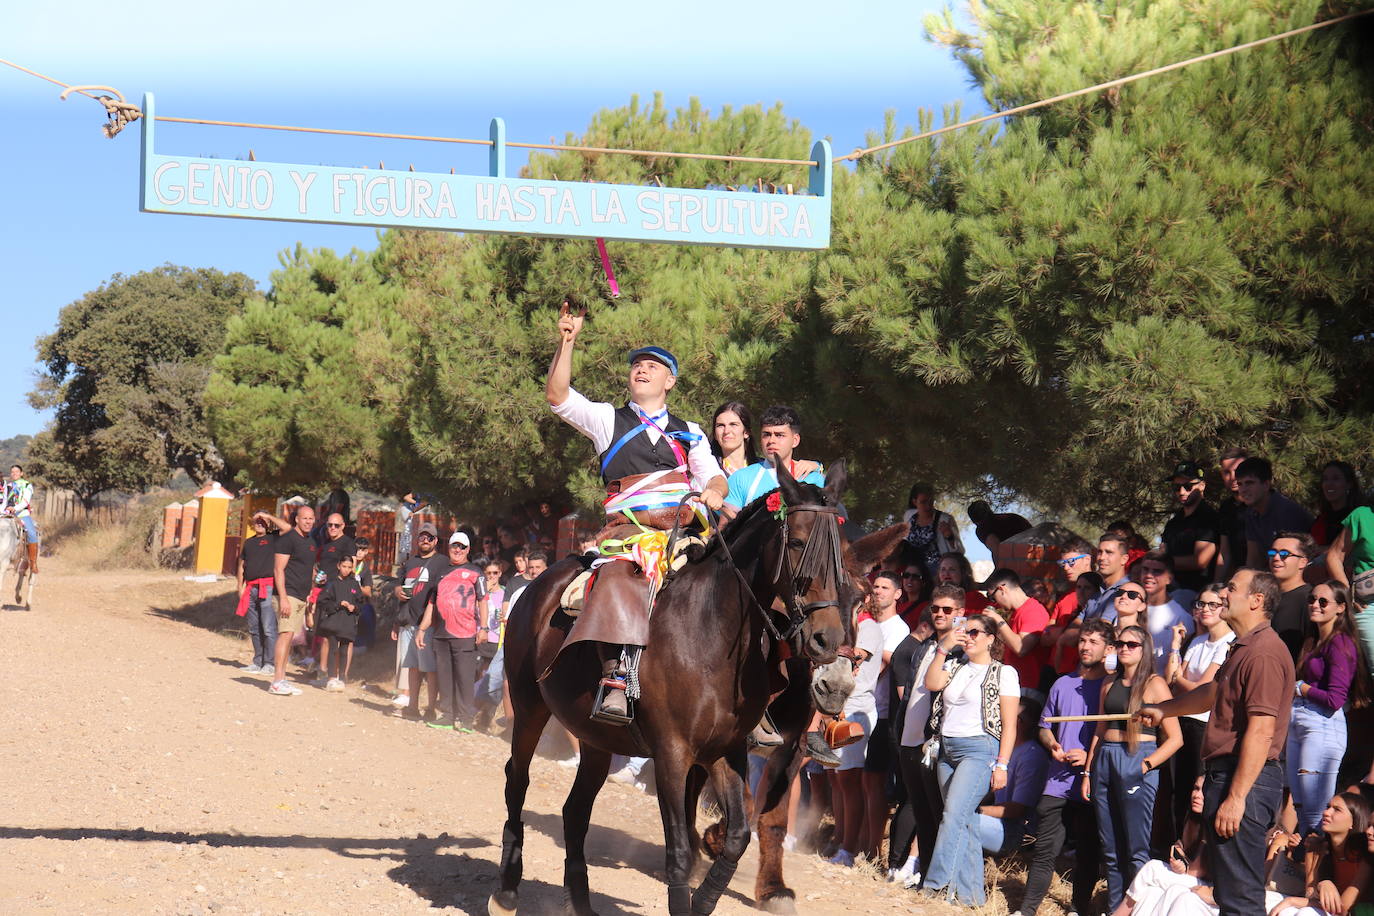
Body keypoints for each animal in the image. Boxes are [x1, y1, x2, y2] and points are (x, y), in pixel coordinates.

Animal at [489, 461, 851, 916]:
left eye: (840, 556)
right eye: (799, 542)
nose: (827, 640)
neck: (708, 633)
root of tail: (540, 582)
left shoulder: (724, 752)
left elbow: (737, 838)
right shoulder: (673, 755)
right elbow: (678, 852)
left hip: (596, 739)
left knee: (575, 811)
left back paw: (579, 901)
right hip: (529, 707)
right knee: (516, 781)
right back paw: (506, 889)